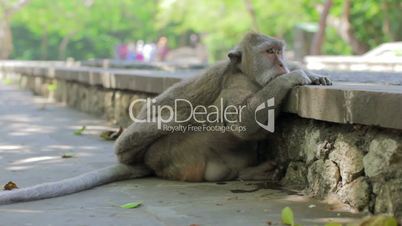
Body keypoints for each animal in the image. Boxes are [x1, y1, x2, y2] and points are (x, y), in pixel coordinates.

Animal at [0, 32, 332, 205]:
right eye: (269, 52)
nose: (282, 64)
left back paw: (248, 172)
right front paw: (295, 76)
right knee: (186, 120)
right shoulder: (235, 85)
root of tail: (146, 163)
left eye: (280, 51)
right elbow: (242, 123)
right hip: (172, 156)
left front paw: (312, 74)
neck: (246, 73)